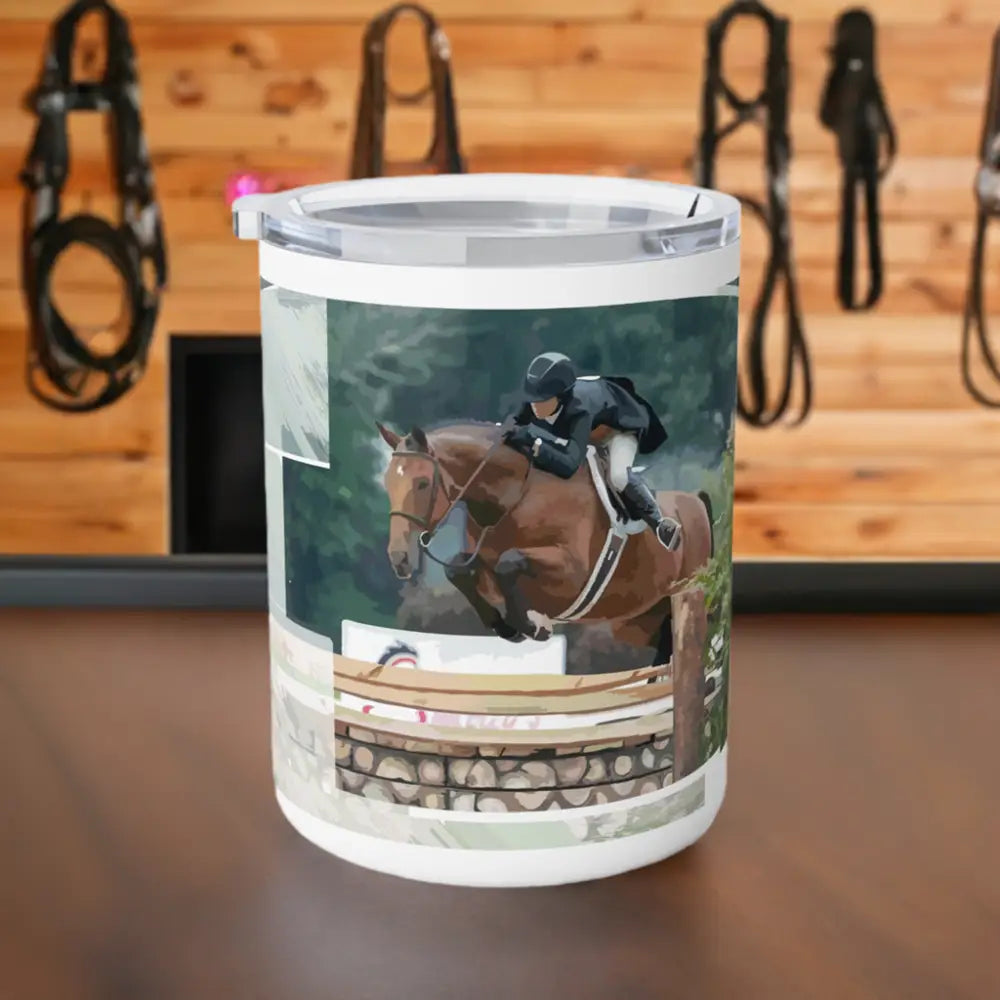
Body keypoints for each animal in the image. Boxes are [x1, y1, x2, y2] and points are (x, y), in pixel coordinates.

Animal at [376, 420, 715, 676]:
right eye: (387, 483)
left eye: (422, 484)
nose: (398, 558)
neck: (513, 497)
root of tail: (696, 501)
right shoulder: (483, 565)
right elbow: (458, 571)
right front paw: (506, 627)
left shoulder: (572, 573)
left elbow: (510, 562)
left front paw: (534, 626)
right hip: (637, 621)